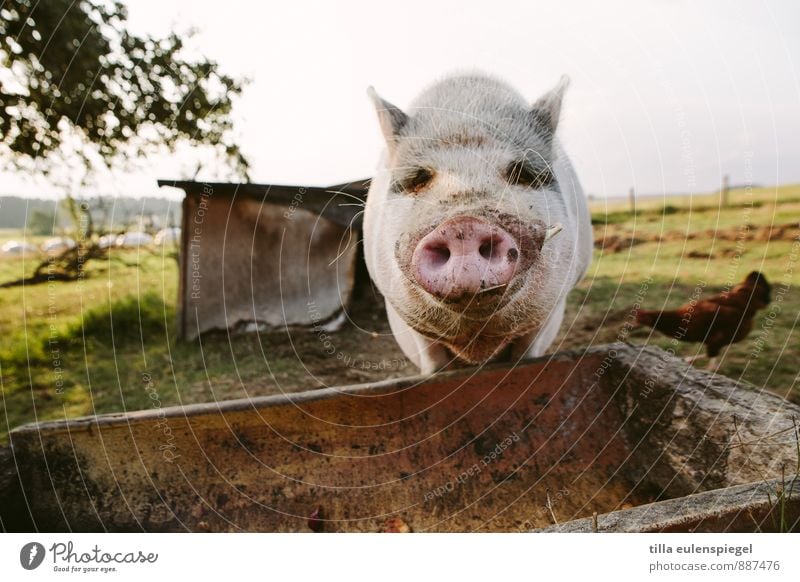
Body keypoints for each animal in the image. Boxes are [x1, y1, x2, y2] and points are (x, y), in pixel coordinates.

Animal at [362, 74, 592, 374]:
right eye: (418, 178)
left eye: (521, 173)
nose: (463, 224)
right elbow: (433, 361)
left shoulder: (548, 310)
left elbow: (526, 354)